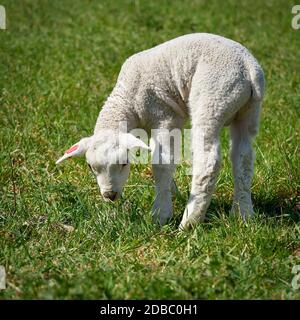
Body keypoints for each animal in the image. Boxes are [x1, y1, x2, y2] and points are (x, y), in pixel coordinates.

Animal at [56, 33, 264, 229]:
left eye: (124, 163)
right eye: (90, 167)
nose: (110, 195)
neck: (127, 100)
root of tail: (248, 69)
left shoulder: (164, 116)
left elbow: (161, 163)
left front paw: (161, 213)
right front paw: (172, 192)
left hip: (212, 98)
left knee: (208, 161)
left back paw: (189, 222)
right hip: (248, 111)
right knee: (243, 158)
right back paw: (242, 214)